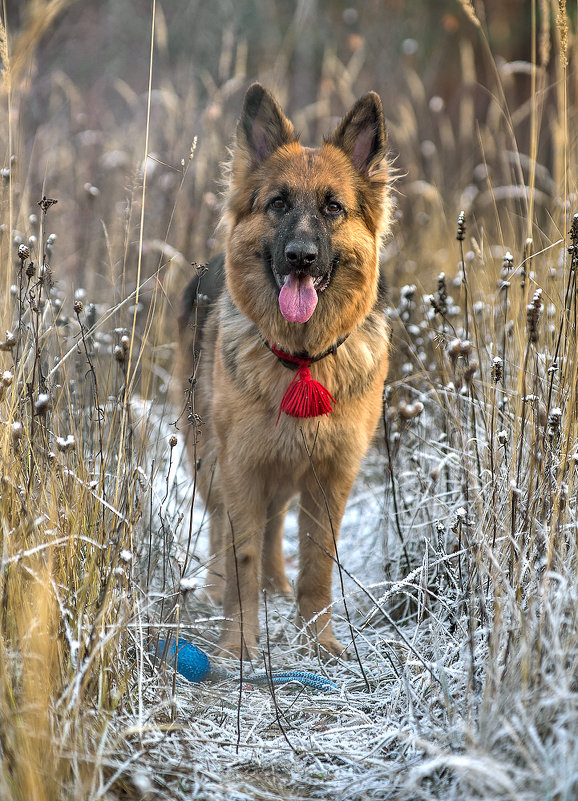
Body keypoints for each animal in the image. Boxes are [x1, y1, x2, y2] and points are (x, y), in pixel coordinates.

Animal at [177, 84, 392, 660]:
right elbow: (240, 557)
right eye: (278, 203)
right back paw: (215, 589)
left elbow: (316, 566)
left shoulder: (332, 477)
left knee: (275, 527)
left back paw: (276, 585)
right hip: (212, 457)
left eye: (333, 208)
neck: (301, 360)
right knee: (219, 525)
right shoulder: (241, 467)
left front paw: (319, 642)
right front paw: (238, 646)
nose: (300, 257)